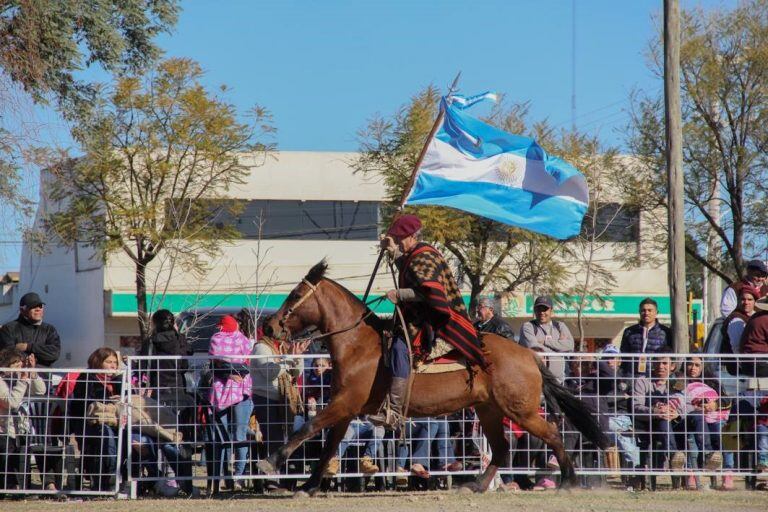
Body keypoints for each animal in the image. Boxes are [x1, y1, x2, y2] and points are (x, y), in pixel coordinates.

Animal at [260, 262, 608, 494]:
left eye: (295, 294)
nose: (269, 326)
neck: (358, 345)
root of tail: (529, 355)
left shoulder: (343, 404)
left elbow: (308, 428)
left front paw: (272, 461)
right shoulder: (346, 409)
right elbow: (328, 444)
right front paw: (308, 485)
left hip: (519, 410)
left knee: (551, 433)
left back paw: (568, 481)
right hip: (489, 410)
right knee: (501, 448)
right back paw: (476, 485)